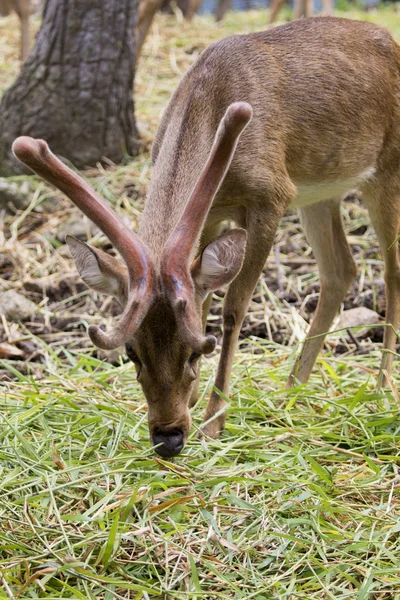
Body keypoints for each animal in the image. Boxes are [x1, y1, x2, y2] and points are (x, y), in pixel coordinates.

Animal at [12, 17, 400, 460]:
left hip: (386, 170)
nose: (168, 437)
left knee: (390, 272)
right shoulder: (211, 214)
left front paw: (214, 419)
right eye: (131, 352)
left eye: (198, 350)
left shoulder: (271, 196)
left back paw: (381, 387)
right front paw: (198, 401)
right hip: (321, 193)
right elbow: (205, 298)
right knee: (341, 270)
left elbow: (232, 308)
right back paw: (291, 389)